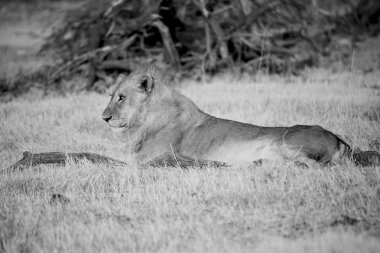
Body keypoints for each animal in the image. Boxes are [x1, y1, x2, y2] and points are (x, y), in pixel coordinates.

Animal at [100, 64, 378, 167]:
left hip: (288, 142)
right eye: (112, 96)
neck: (144, 120)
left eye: (121, 98)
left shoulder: (142, 159)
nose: (104, 118)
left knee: (313, 165)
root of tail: (338, 138)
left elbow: (101, 157)